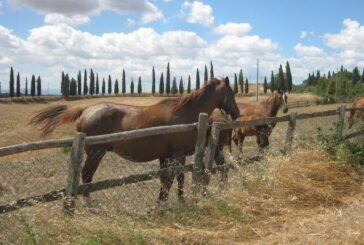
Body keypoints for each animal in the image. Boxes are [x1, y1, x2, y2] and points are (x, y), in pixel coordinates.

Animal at [30, 78, 239, 203]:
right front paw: (179, 201)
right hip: (95, 153)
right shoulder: (177, 155)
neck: (187, 114)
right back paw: (88, 204)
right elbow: (177, 178)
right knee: (87, 176)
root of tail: (85, 110)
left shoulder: (166, 156)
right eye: (232, 93)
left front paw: (162, 202)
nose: (237, 113)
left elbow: (166, 179)